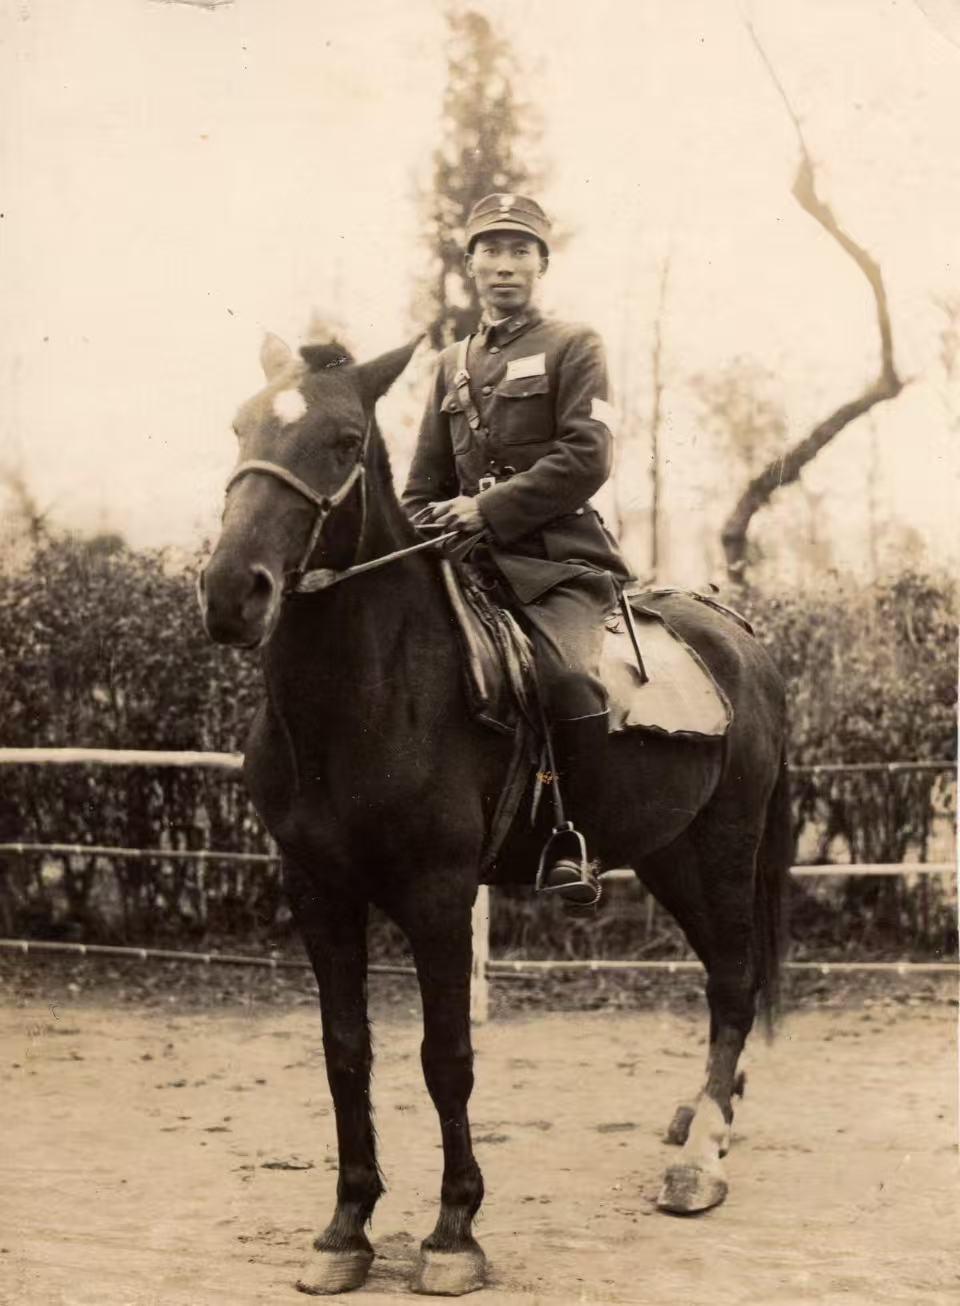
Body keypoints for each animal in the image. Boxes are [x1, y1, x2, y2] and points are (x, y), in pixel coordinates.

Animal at [198, 328, 792, 1297]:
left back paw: (701, 1157)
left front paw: (453, 1233)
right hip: (669, 855)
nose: (229, 592)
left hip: (725, 848)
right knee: (721, 984)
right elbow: (345, 1051)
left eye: (341, 440)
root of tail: (738, 634)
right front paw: (346, 1228)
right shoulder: (316, 891)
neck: (367, 693)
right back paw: (706, 1118)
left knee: (734, 985)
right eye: (240, 427)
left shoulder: (440, 895)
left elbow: (446, 1060)